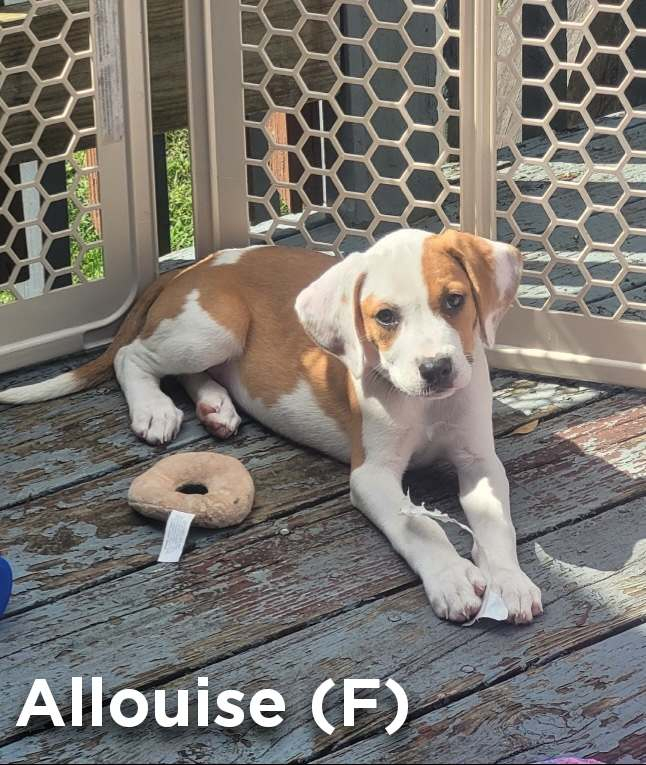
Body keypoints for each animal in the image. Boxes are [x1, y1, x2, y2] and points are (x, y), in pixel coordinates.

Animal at [2, 230, 544, 624]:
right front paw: (452, 577)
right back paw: (154, 409)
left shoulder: (479, 460)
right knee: (134, 357)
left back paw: (216, 407)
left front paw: (509, 581)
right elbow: (418, 524)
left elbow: (497, 523)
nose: (436, 370)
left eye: (455, 301)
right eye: (385, 317)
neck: (425, 407)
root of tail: (194, 266)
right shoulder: (371, 474)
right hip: (211, 329)